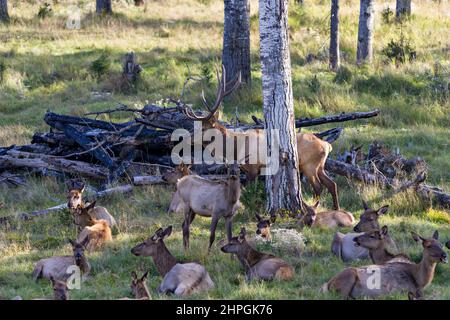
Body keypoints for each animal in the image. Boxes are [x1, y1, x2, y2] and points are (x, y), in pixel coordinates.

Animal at [178, 65, 340, 210]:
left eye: (203, 128)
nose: (185, 139)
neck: (235, 149)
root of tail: (327, 145)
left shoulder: (253, 168)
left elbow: (247, 190)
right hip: (320, 166)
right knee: (332, 184)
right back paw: (336, 209)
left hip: (309, 165)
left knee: (319, 187)